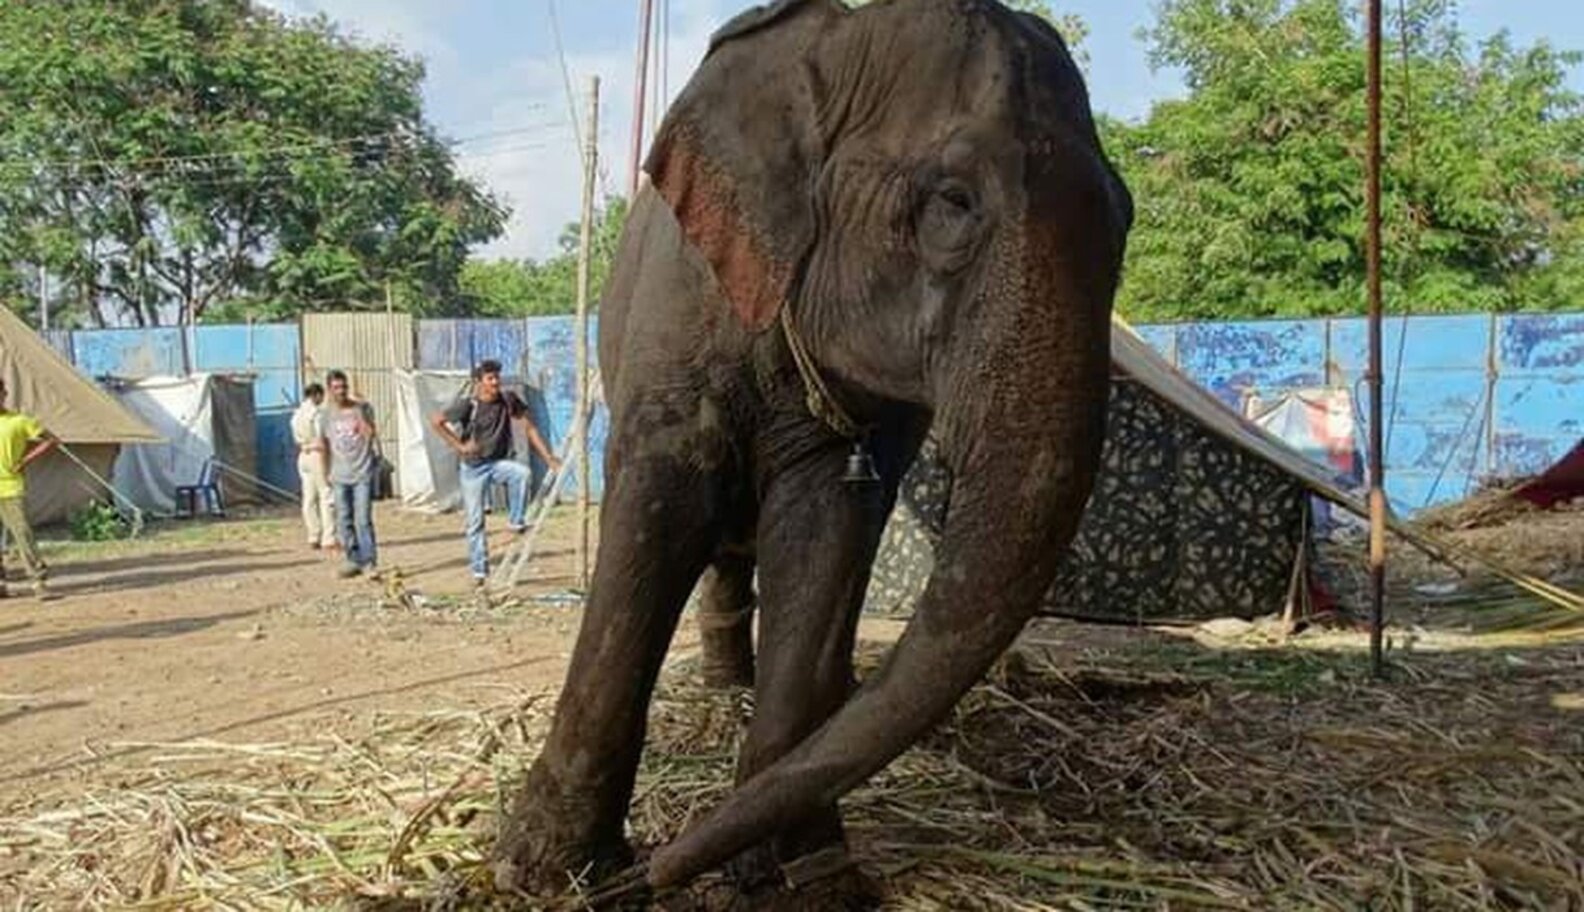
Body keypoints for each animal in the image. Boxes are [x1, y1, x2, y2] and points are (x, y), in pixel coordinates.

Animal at [492, 0, 1133, 904]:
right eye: (953, 201)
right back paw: (725, 685)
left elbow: (826, 528)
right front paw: (539, 872)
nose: (655, 871)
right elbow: (660, 509)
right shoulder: (677, 317)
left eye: (1126, 216)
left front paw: (806, 879)